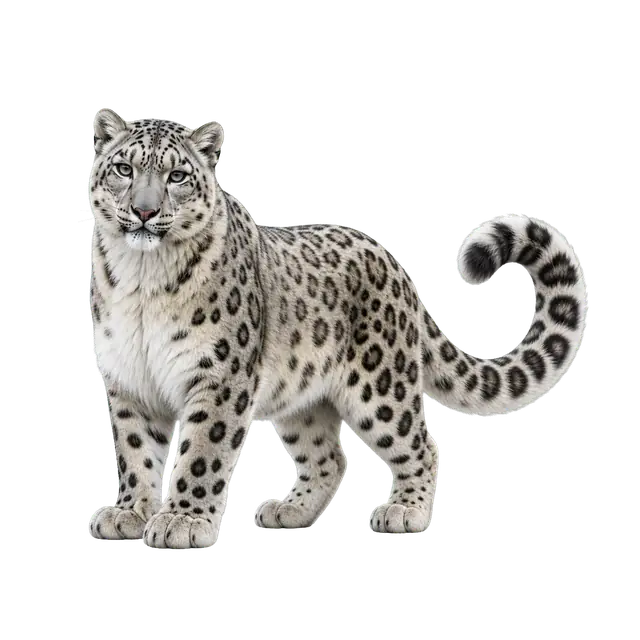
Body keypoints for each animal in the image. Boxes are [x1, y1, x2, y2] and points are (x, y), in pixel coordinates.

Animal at [86, 108, 588, 548]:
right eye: (125, 169)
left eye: (177, 177)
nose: (144, 211)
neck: (142, 278)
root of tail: (394, 265)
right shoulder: (128, 378)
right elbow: (135, 451)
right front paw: (129, 514)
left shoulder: (219, 377)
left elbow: (201, 453)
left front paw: (181, 521)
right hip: (302, 398)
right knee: (329, 456)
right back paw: (288, 510)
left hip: (381, 389)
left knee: (422, 445)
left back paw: (405, 512)